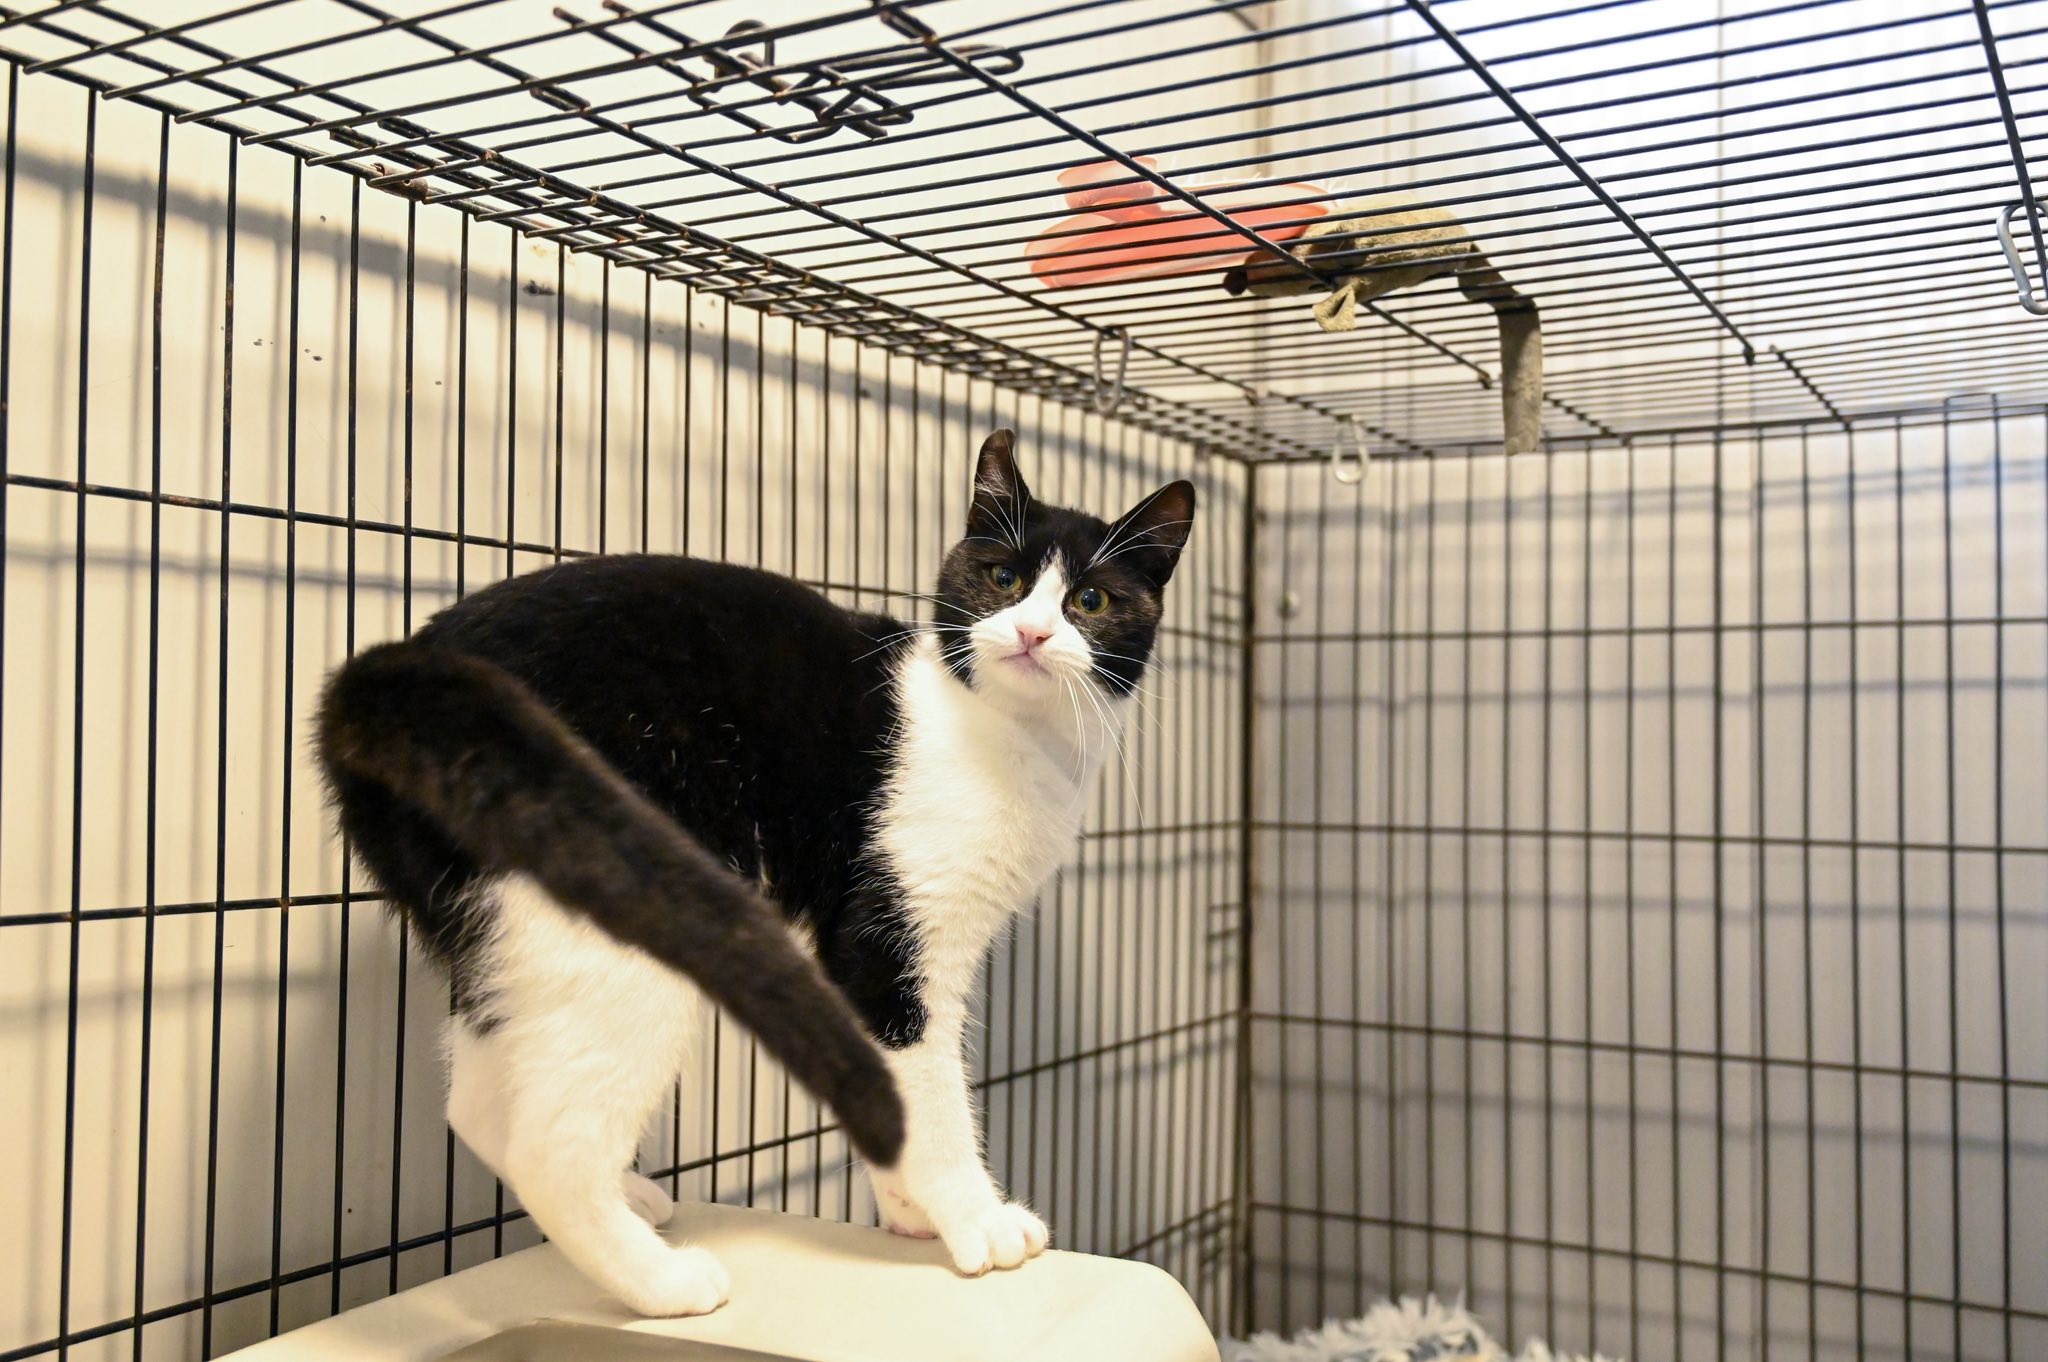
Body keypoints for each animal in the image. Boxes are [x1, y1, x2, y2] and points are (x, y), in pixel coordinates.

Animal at [314, 427, 1195, 1316]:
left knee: (480, 1101)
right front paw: (975, 1221)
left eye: (1092, 602)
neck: (1009, 733)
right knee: (550, 1142)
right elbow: (926, 1087)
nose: (1032, 634)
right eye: (1003, 578)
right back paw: (663, 1283)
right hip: (625, 897)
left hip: (500, 923)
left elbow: (877, 1078)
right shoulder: (887, 938)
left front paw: (912, 1211)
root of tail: (393, 668)